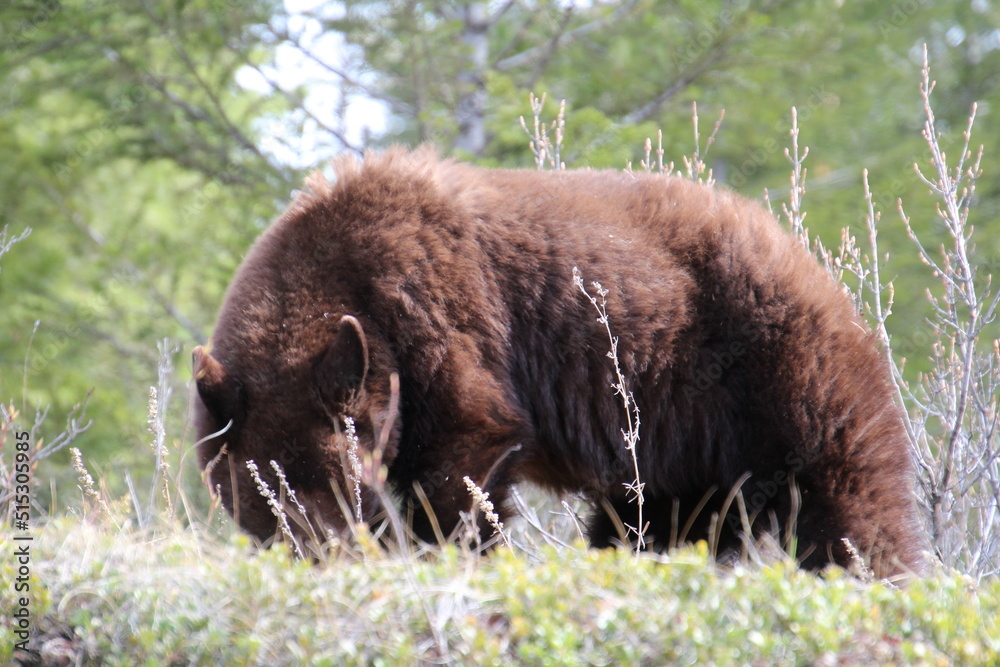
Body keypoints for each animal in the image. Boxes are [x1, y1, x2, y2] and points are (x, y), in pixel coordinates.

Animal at [192, 147, 926, 579]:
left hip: (782, 372)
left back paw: (870, 571)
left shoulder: (438, 313)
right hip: (684, 442)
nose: (321, 552)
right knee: (663, 521)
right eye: (260, 493)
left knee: (846, 497)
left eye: (339, 479)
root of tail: (811, 262)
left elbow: (467, 451)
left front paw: (451, 553)